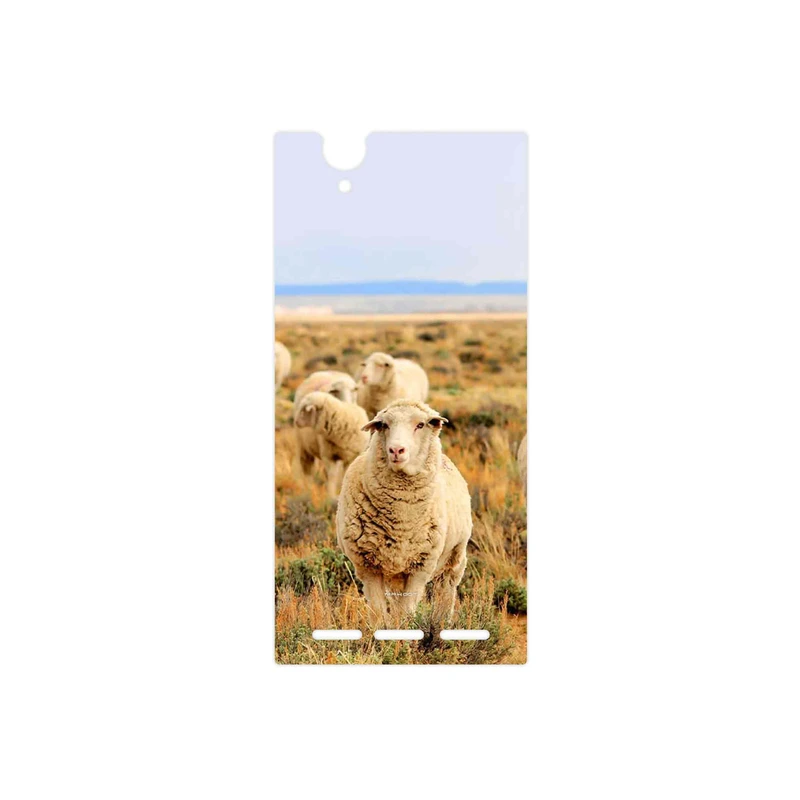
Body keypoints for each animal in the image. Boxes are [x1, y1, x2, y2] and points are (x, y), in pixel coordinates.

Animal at [336, 399, 472, 624]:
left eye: (421, 425)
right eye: (384, 425)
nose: (396, 450)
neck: (401, 519)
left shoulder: (420, 566)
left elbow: (406, 613)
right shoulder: (367, 566)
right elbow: (379, 612)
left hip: (454, 557)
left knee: (446, 591)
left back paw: (442, 621)